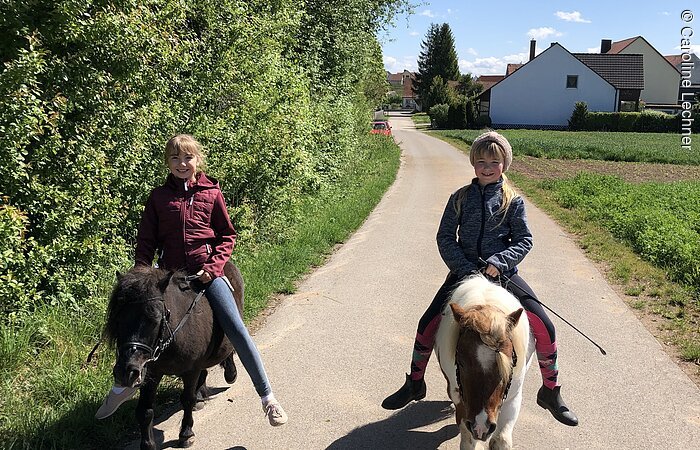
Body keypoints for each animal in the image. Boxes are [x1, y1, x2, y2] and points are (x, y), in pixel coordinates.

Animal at [103, 261, 244, 450]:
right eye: (118, 320)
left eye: (154, 319)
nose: (126, 372)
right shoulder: (152, 372)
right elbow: (145, 410)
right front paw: (148, 444)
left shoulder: (191, 370)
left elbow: (187, 399)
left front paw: (186, 434)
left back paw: (230, 373)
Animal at [435, 275, 533, 450]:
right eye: (461, 362)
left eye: (509, 365)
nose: (482, 426)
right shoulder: (461, 400)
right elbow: (468, 440)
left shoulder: (514, 397)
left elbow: (501, 440)